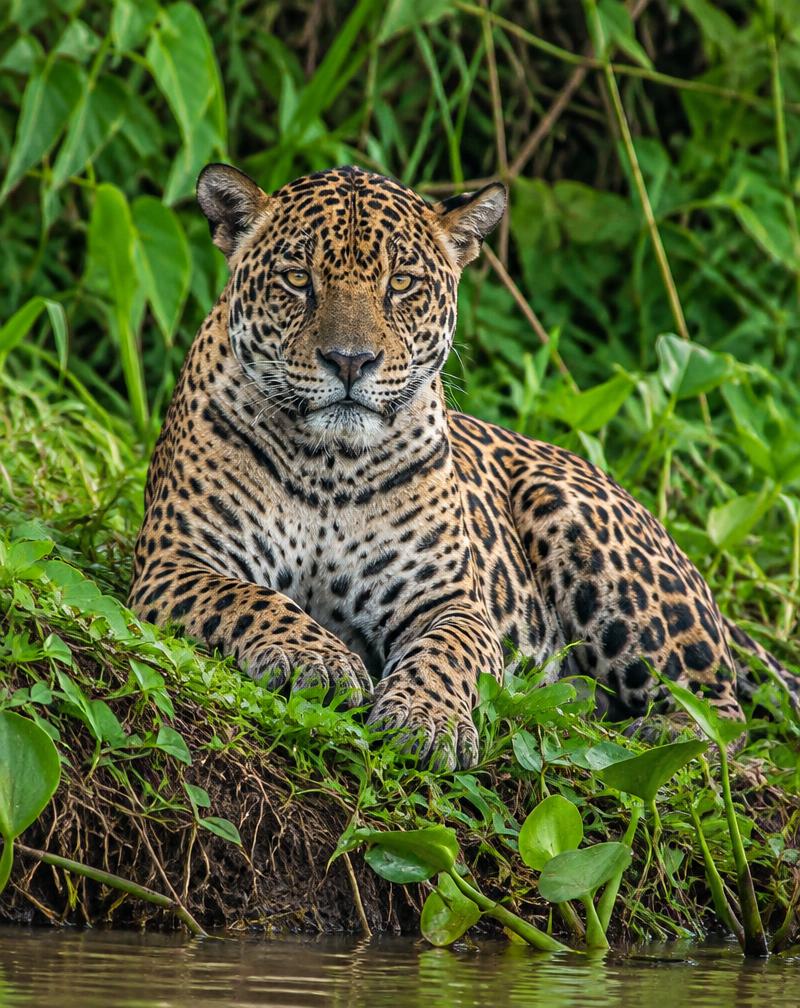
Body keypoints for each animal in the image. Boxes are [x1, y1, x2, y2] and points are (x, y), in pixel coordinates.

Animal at [129, 162, 799, 770]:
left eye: (401, 283)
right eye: (297, 279)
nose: (350, 361)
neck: (328, 465)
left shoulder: (450, 600)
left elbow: (446, 653)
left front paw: (424, 721)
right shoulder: (178, 560)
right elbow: (250, 597)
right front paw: (318, 658)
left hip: (579, 523)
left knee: (720, 712)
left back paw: (659, 737)